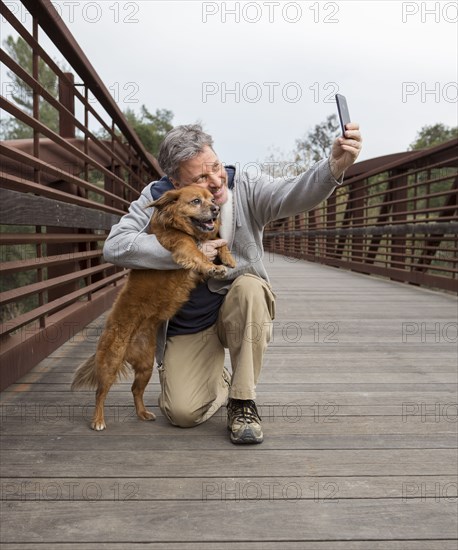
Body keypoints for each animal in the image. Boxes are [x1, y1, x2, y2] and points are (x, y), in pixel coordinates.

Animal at [72, 188, 236, 434]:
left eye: (212, 198)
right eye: (196, 201)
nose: (216, 209)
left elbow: (218, 240)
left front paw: (227, 256)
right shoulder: (181, 244)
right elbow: (197, 252)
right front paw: (213, 266)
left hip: (146, 366)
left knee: (135, 390)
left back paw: (143, 414)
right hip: (110, 362)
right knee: (100, 393)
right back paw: (98, 421)